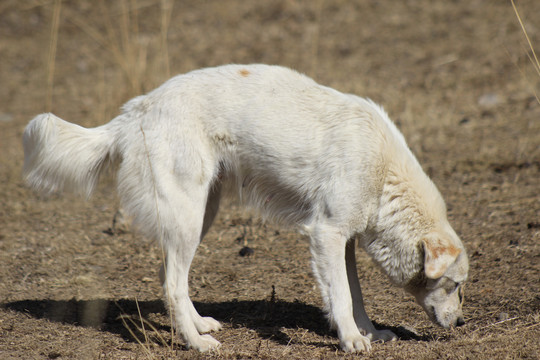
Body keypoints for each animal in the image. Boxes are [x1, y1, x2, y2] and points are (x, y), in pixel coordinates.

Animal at [22, 64, 468, 352]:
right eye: (456, 285)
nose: (463, 323)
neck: (384, 174)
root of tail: (134, 112)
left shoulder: (344, 241)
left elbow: (353, 295)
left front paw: (368, 333)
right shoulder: (327, 234)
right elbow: (340, 296)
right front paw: (352, 340)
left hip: (202, 214)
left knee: (170, 279)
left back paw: (199, 325)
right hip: (188, 219)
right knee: (172, 283)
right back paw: (197, 343)